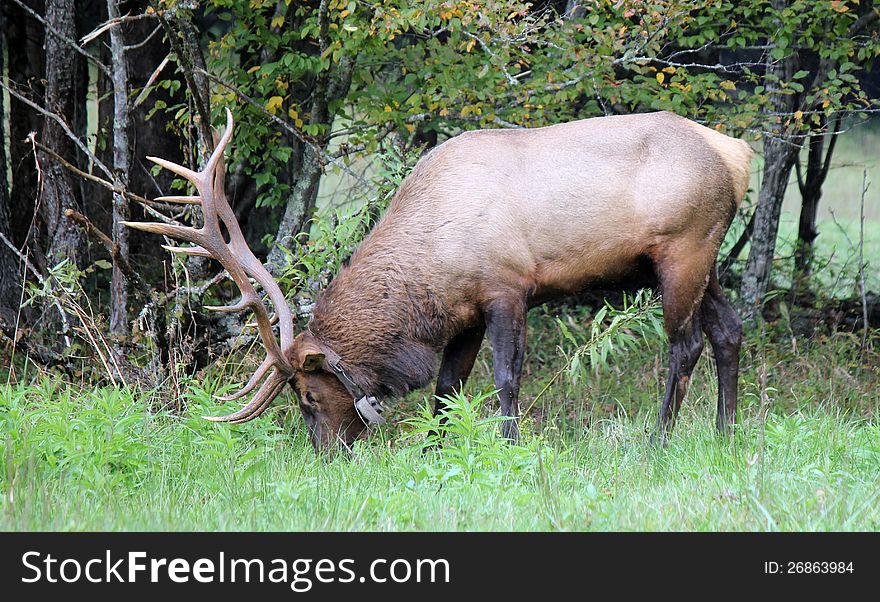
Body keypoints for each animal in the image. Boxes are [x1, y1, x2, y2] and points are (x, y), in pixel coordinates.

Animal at [127, 109, 752, 450]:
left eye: (307, 395)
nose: (327, 455)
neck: (430, 276)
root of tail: (739, 153)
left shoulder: (507, 287)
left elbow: (505, 379)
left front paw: (509, 448)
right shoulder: (465, 314)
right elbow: (447, 389)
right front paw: (436, 452)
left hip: (683, 251)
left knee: (685, 344)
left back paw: (656, 442)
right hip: (707, 259)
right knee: (729, 328)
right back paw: (725, 434)